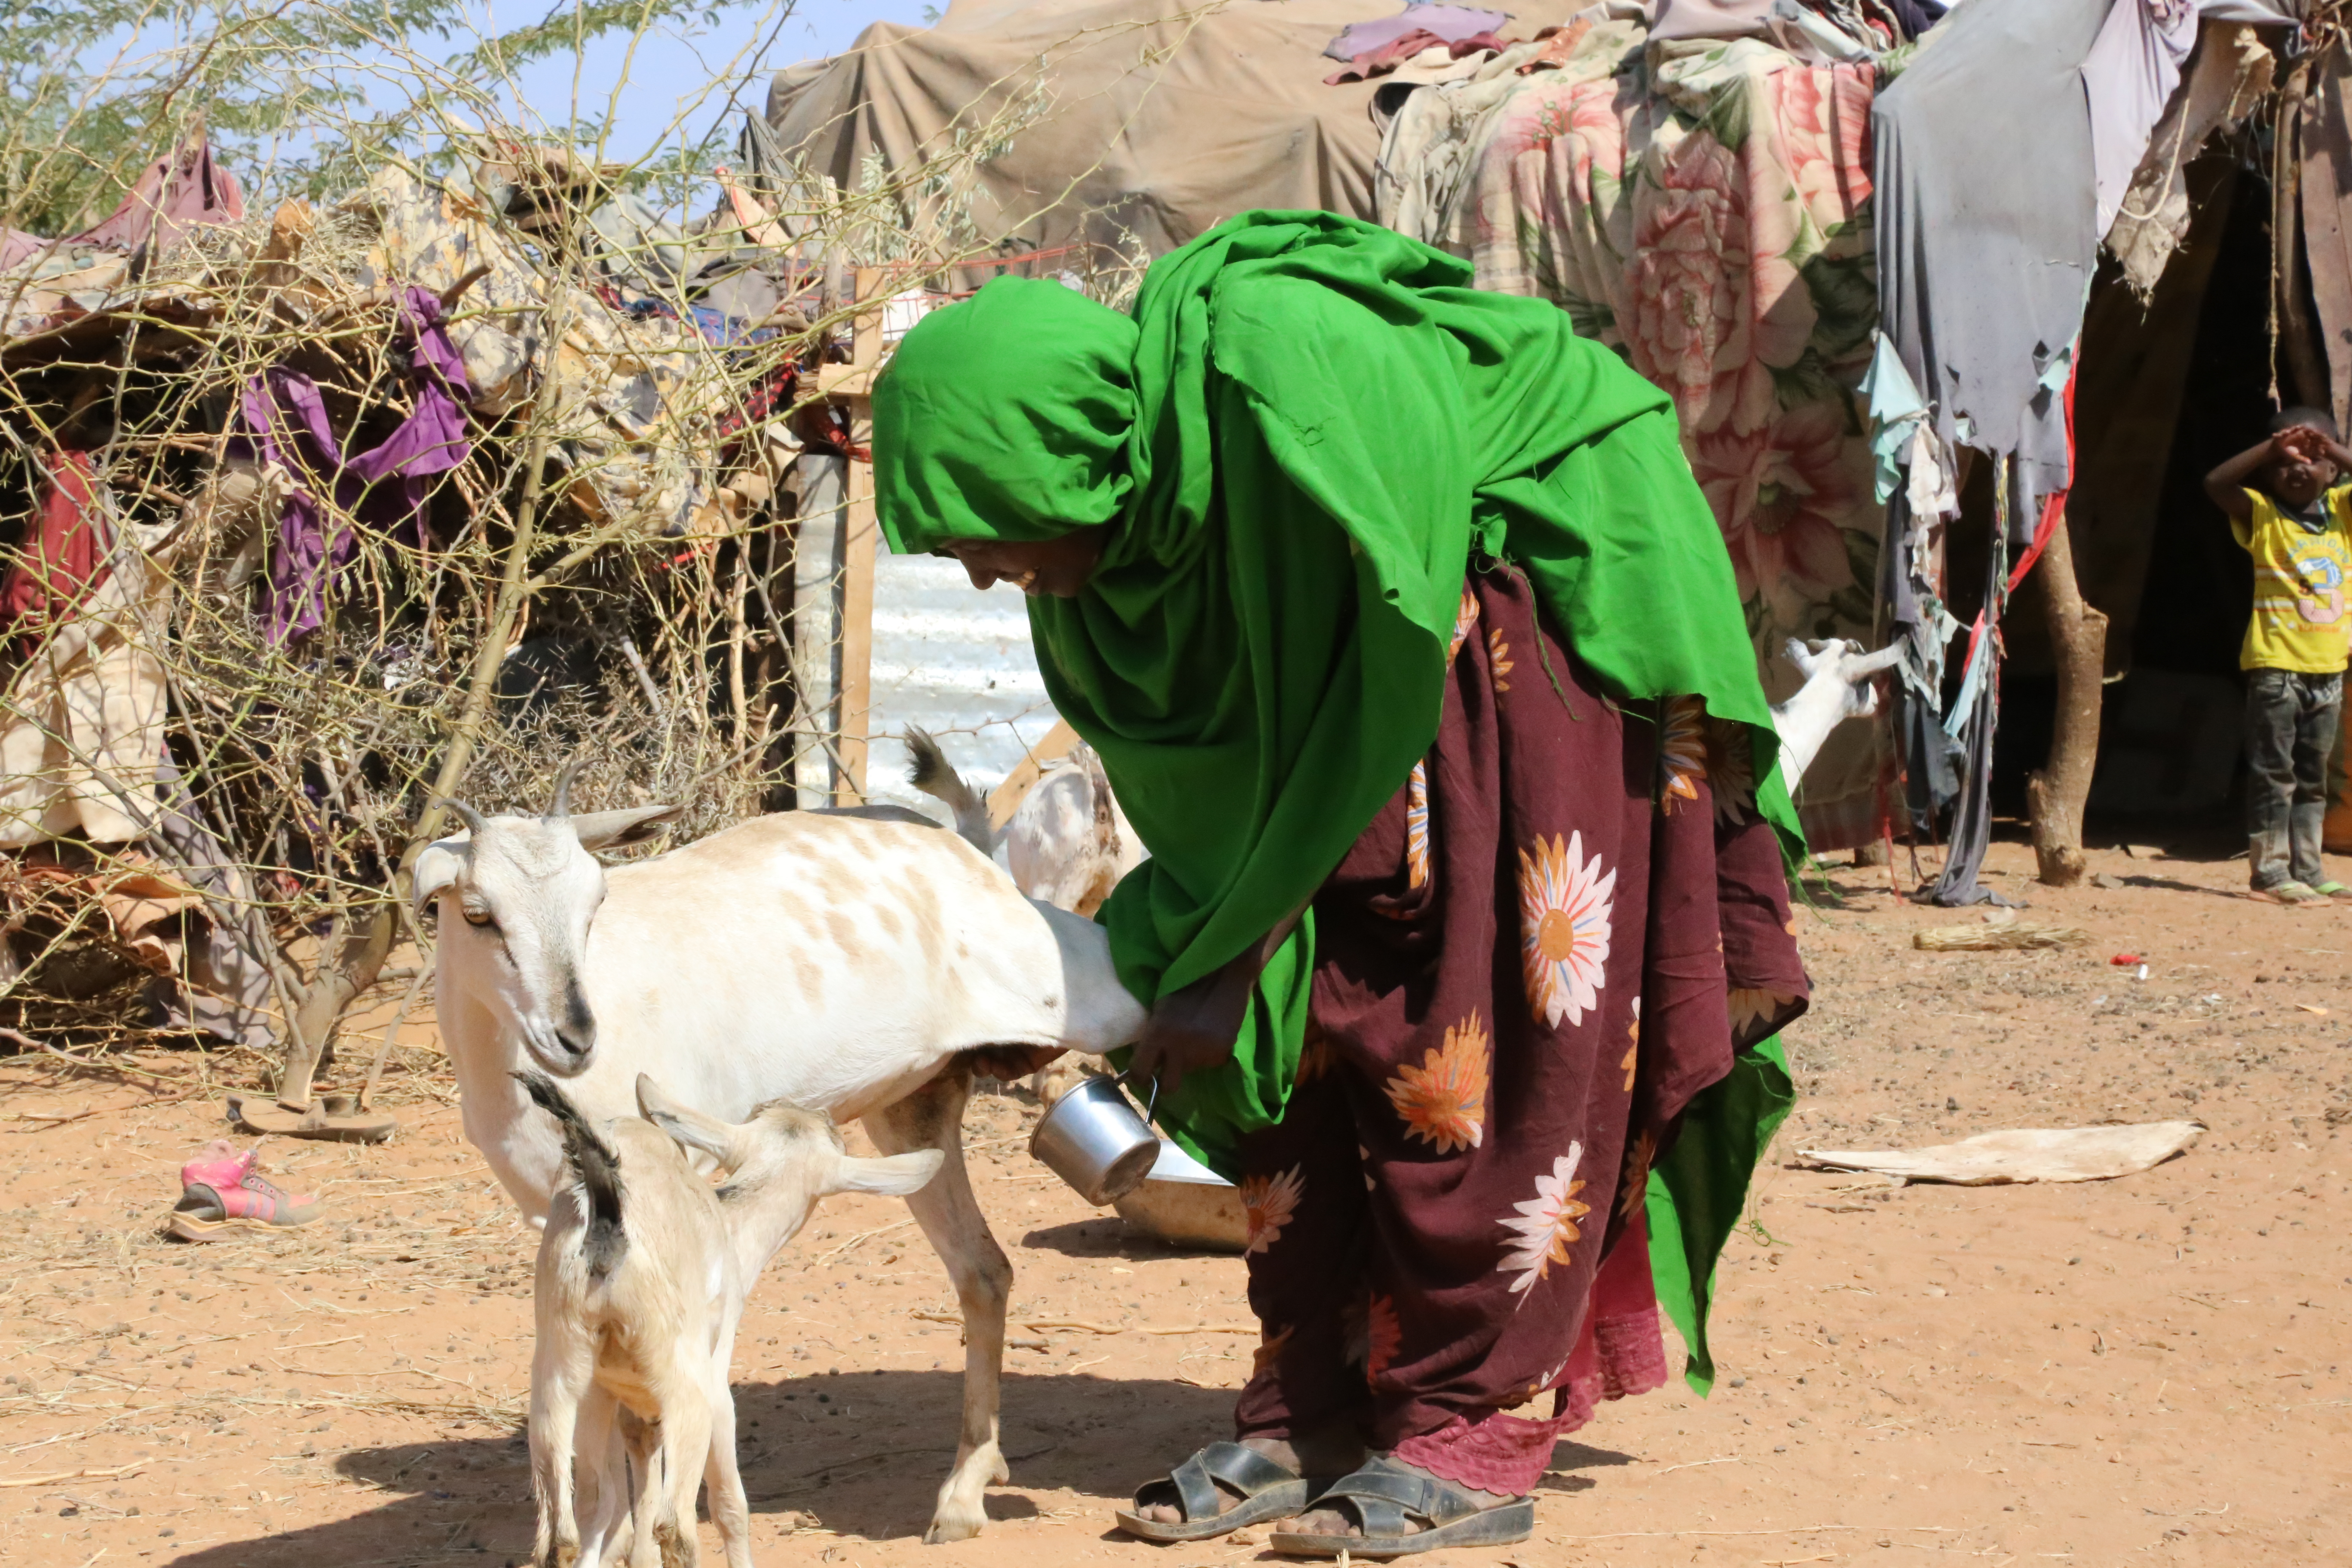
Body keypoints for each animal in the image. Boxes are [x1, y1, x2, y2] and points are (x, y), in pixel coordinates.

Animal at [524, 1067, 945, 1568]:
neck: (729, 1224)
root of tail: (608, 1221)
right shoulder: (716, 1383)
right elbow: (729, 1506)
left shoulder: (616, 1398)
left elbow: (616, 1502)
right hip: (684, 1386)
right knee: (676, 1526)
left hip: (559, 1372)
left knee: (567, 1530)